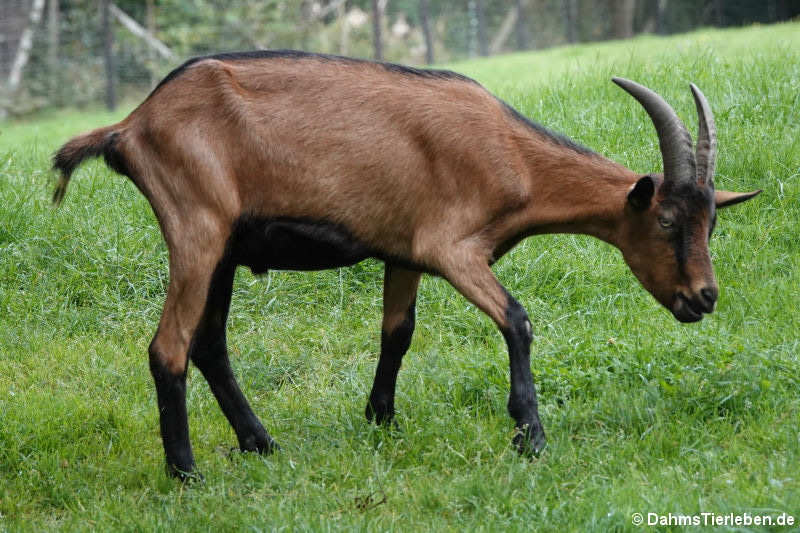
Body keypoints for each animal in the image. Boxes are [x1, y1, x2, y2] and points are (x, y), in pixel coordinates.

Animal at [53, 52, 760, 480]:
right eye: (666, 223)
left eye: (712, 224)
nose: (703, 297)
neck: (511, 154)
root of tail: (130, 126)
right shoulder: (453, 248)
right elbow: (518, 320)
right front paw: (529, 434)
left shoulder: (404, 252)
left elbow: (398, 333)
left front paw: (381, 419)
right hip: (195, 230)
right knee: (168, 347)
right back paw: (186, 472)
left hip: (224, 247)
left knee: (208, 345)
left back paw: (261, 443)